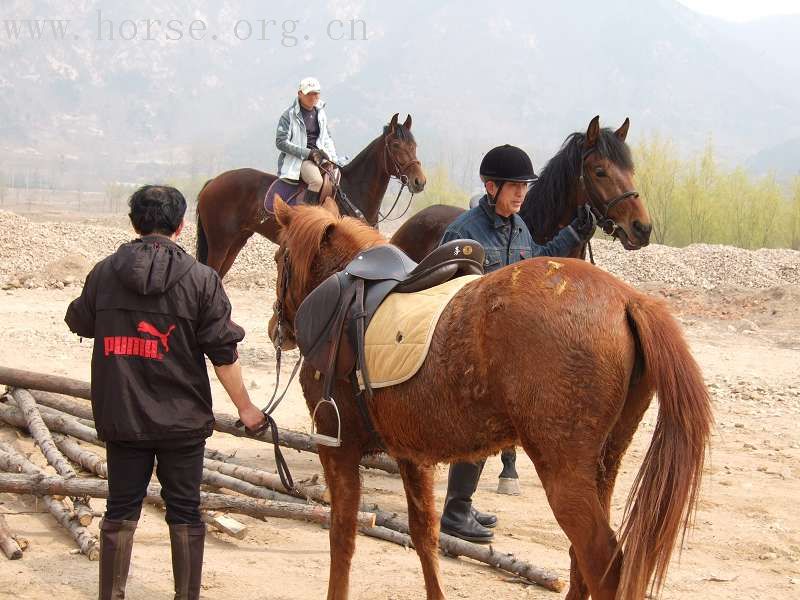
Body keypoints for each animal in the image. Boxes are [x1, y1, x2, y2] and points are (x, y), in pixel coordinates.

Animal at [195, 113, 424, 278]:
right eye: (395, 145)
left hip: (237, 241)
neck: (352, 191)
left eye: (414, 145)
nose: (419, 181)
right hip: (220, 243)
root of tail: (212, 182)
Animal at [268, 200, 712, 600]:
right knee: (580, 561)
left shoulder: (337, 449)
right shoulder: (411, 455)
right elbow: (425, 535)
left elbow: (342, 538)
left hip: (565, 476)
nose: (277, 327)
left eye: (279, 257)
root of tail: (627, 298)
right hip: (603, 467)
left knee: (602, 566)